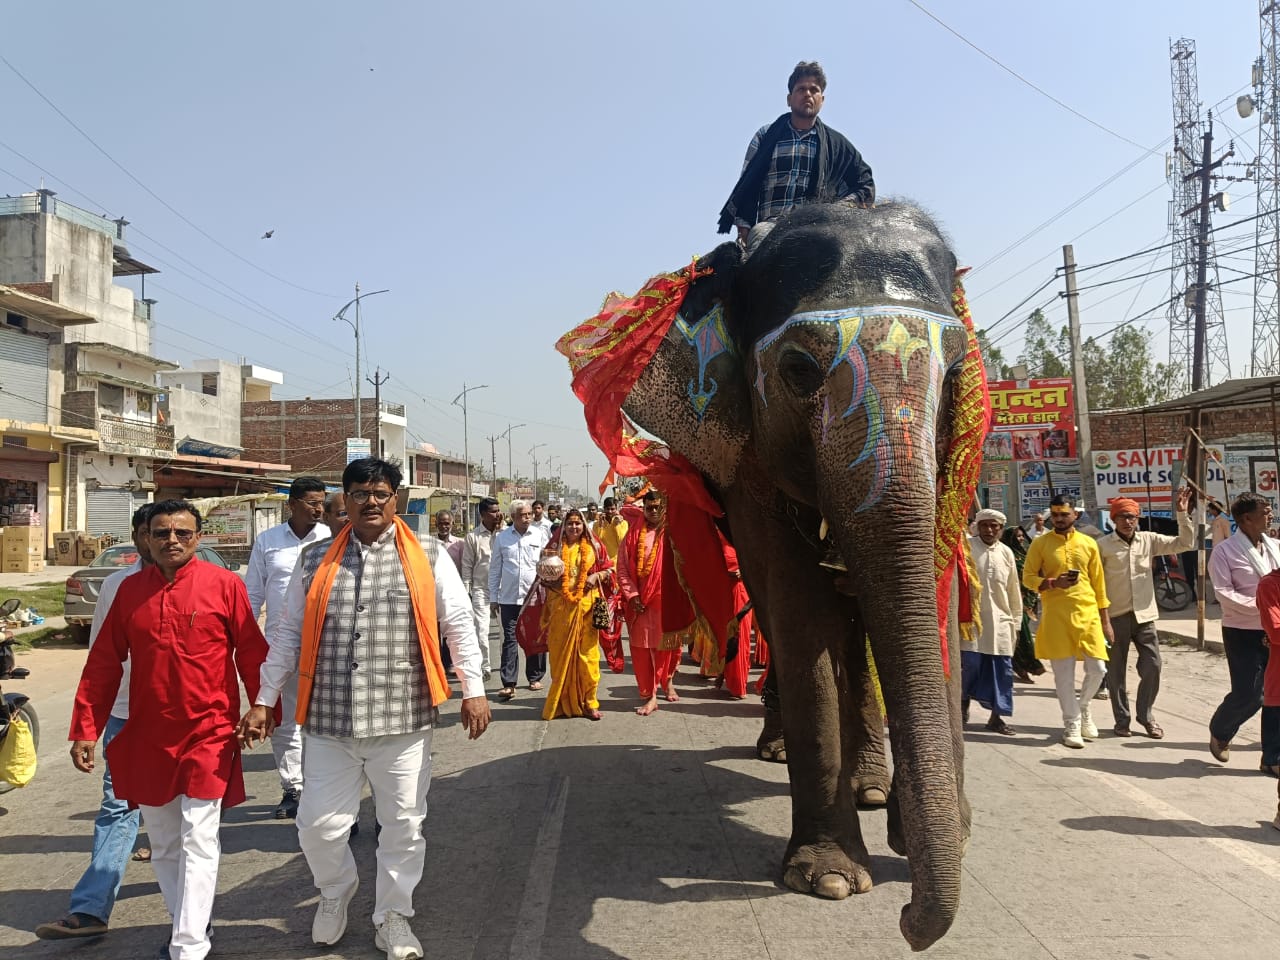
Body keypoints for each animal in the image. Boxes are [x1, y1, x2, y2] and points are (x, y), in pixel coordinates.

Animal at [558, 199, 988, 952]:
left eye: (958, 367)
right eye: (797, 369)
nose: (909, 923)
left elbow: (931, 599)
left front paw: (932, 834)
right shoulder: (743, 459)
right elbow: (797, 606)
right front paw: (832, 879)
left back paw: (870, 787)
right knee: (793, 615)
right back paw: (783, 753)